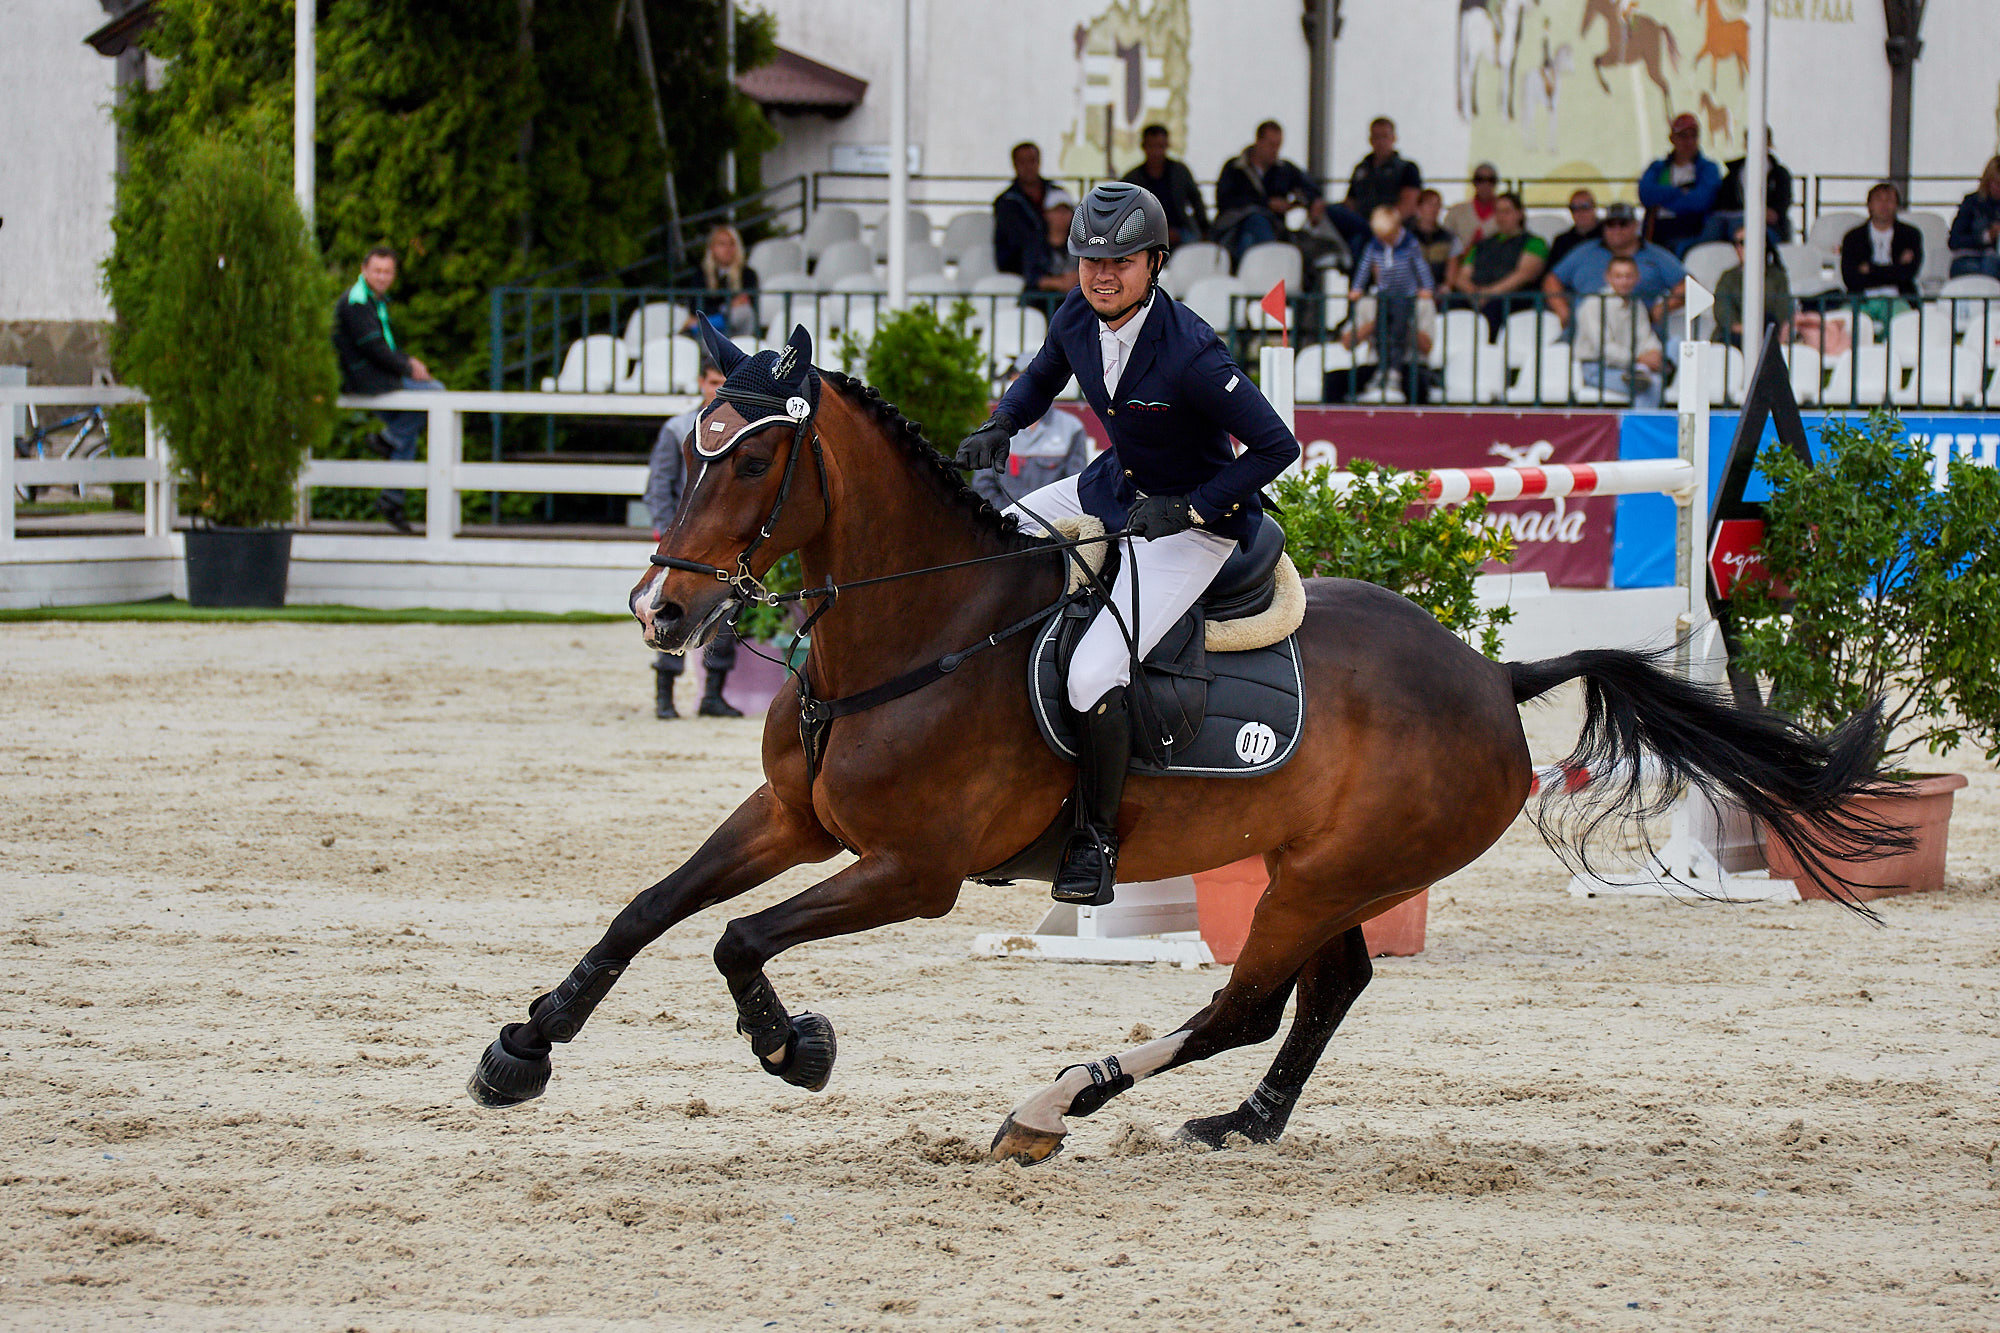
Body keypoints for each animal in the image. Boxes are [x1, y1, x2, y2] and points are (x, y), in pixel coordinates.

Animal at [464, 326, 1904, 1160]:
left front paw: (792, 1047)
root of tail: (1495, 676)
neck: (916, 629)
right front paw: (523, 1049)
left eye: (756, 465)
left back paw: (1056, 1103)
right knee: (1326, 993)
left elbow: (737, 939)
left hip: (1327, 874)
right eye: (691, 449)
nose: (660, 611)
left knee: (1246, 1001)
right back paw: (1241, 1122)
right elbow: (652, 909)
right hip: (1327, 872)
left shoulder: (911, 873)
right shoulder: (797, 822)